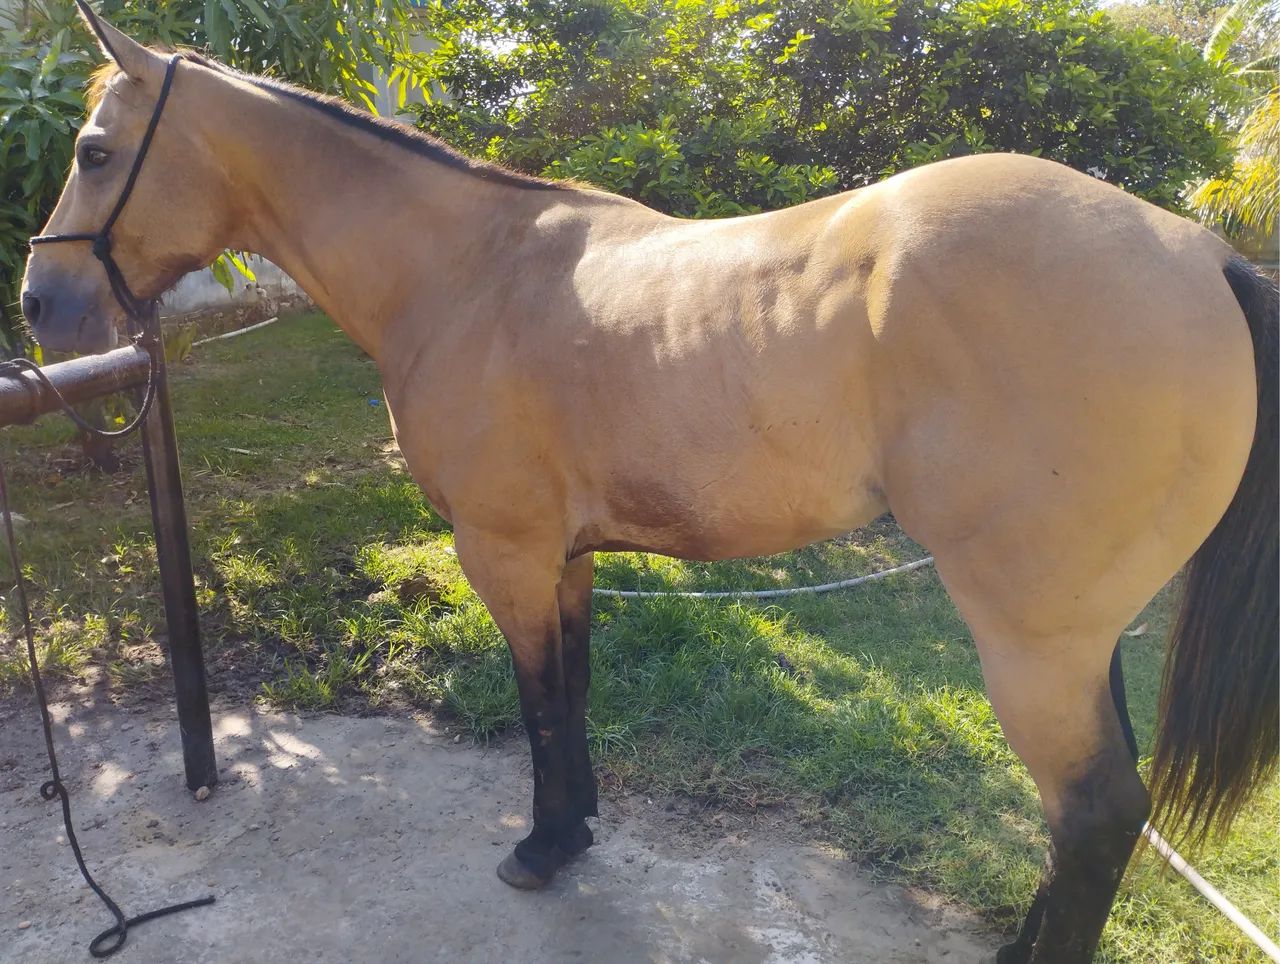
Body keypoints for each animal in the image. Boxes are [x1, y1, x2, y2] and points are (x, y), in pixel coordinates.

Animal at [21, 7, 1276, 962]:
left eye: (92, 152)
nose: (40, 306)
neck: (469, 273)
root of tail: (1197, 251)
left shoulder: (504, 552)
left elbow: (535, 701)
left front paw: (537, 850)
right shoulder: (567, 558)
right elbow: (572, 693)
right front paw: (574, 828)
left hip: (1031, 639)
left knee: (1094, 815)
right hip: (1079, 632)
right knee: (1094, 817)